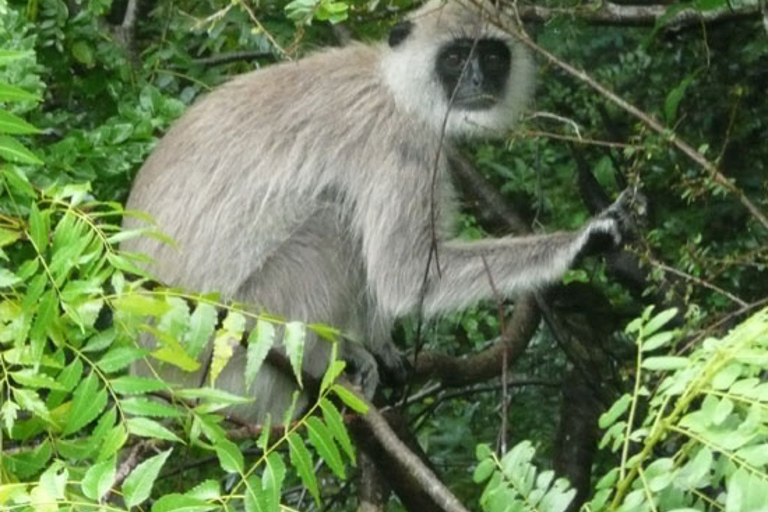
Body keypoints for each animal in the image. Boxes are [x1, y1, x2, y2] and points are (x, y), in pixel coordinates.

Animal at [124, 0, 640, 422]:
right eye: (455, 58)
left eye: (492, 57)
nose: (476, 81)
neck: (392, 85)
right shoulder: (400, 138)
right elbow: (405, 275)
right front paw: (582, 242)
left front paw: (381, 344)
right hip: (237, 344)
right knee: (332, 224)